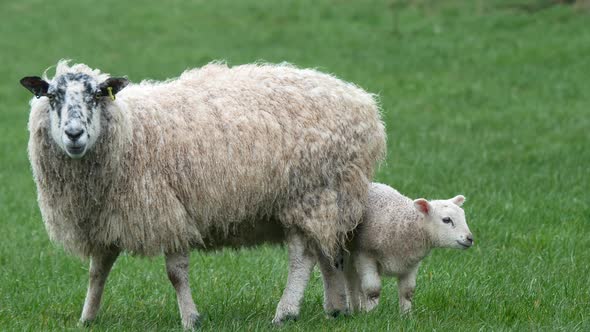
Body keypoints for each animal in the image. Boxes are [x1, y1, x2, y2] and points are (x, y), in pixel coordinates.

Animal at [19, 60, 388, 330]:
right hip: (330, 197)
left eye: (96, 95)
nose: (74, 134)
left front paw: (190, 319)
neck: (131, 131)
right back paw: (336, 308)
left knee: (303, 257)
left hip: (308, 192)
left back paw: (286, 312)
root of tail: (364, 104)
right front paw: (87, 317)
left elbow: (176, 274)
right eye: (52, 97)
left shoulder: (170, 211)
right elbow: (97, 271)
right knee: (328, 252)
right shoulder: (106, 217)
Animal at [344, 183, 474, 316]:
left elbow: (407, 291)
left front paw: (406, 315)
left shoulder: (410, 263)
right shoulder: (365, 255)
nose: (470, 238)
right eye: (446, 220)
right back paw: (353, 309)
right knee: (351, 283)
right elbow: (372, 290)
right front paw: (372, 315)